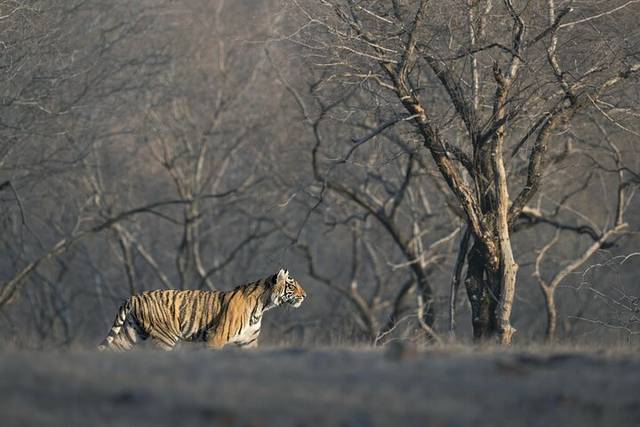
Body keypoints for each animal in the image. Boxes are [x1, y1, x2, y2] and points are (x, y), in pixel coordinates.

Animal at [97, 268, 306, 351]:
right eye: (292, 285)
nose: (305, 295)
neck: (263, 306)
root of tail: (135, 296)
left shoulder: (249, 342)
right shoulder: (216, 337)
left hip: (132, 332)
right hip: (166, 337)